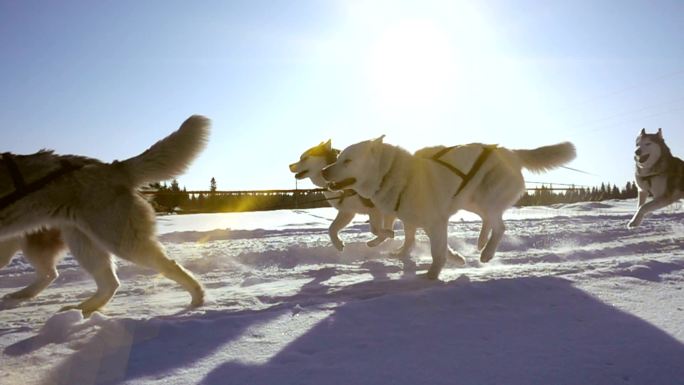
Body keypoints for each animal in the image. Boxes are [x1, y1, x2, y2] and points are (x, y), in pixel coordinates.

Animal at [0, 115, 208, 316]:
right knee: (105, 283)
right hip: (81, 242)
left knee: (168, 266)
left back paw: (197, 299)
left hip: (119, 241)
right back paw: (79, 309)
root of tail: (112, 167)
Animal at [324, 136, 576, 278]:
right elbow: (415, 243)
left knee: (501, 226)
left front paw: (433, 274)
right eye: (338, 157)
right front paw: (455, 259)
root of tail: (511, 152)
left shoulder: (435, 222)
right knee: (489, 221)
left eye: (347, 161)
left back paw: (487, 252)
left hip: (486, 200)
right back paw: (481, 242)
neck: (398, 176)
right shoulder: (415, 221)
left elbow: (437, 251)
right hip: (470, 201)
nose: (325, 171)